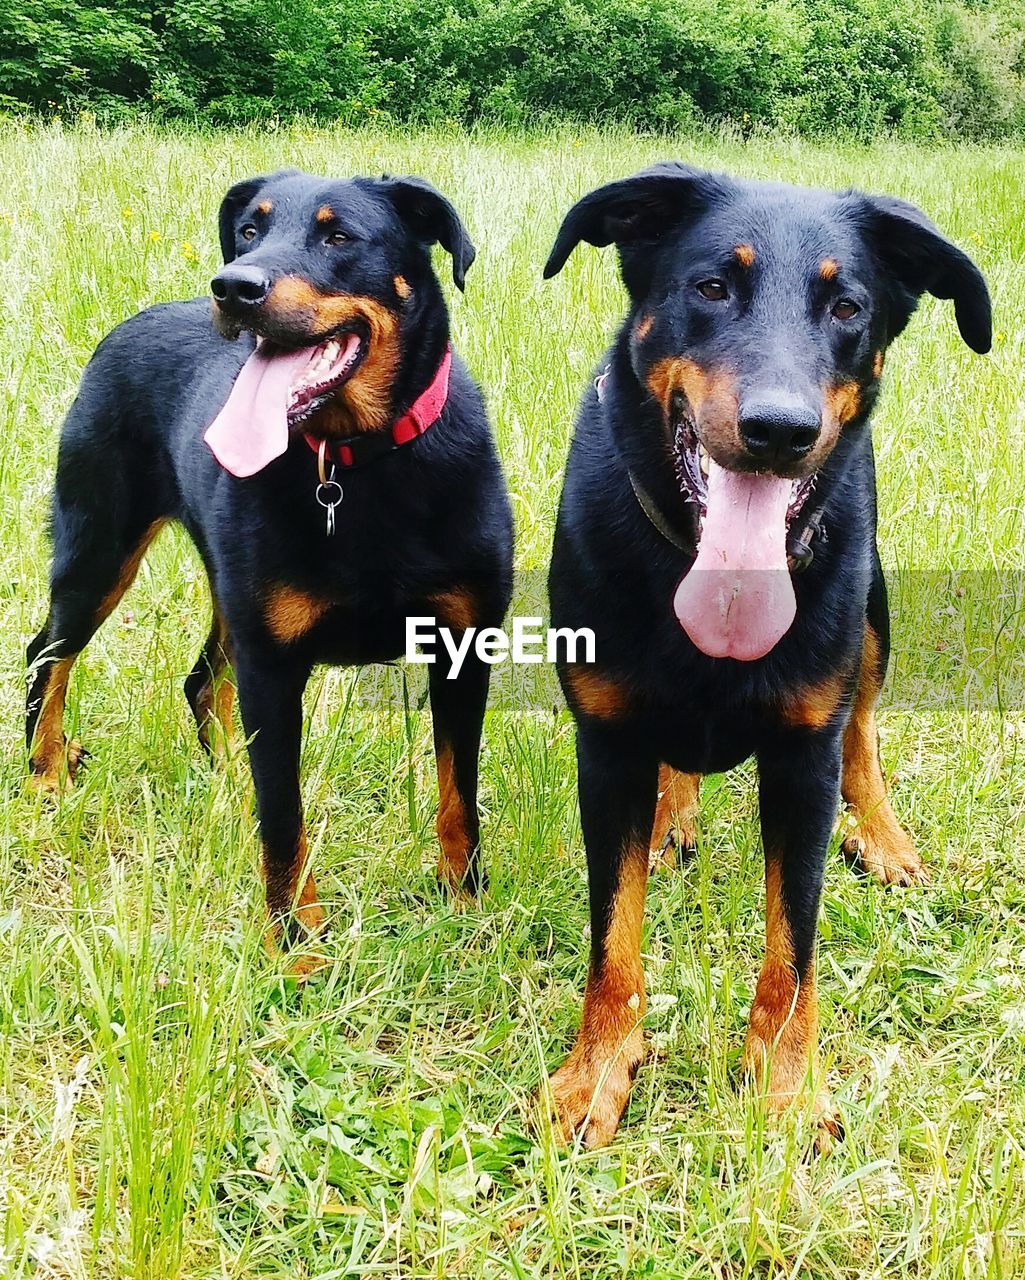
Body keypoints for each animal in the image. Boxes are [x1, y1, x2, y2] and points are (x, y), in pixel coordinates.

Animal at [25, 167, 511, 952]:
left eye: (339, 236)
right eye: (249, 230)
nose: (233, 286)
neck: (354, 464)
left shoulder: (464, 644)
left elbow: (457, 794)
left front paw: (464, 906)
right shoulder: (273, 663)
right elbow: (282, 816)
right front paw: (295, 945)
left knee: (200, 682)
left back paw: (224, 779)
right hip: (98, 546)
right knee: (49, 655)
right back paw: (44, 773)